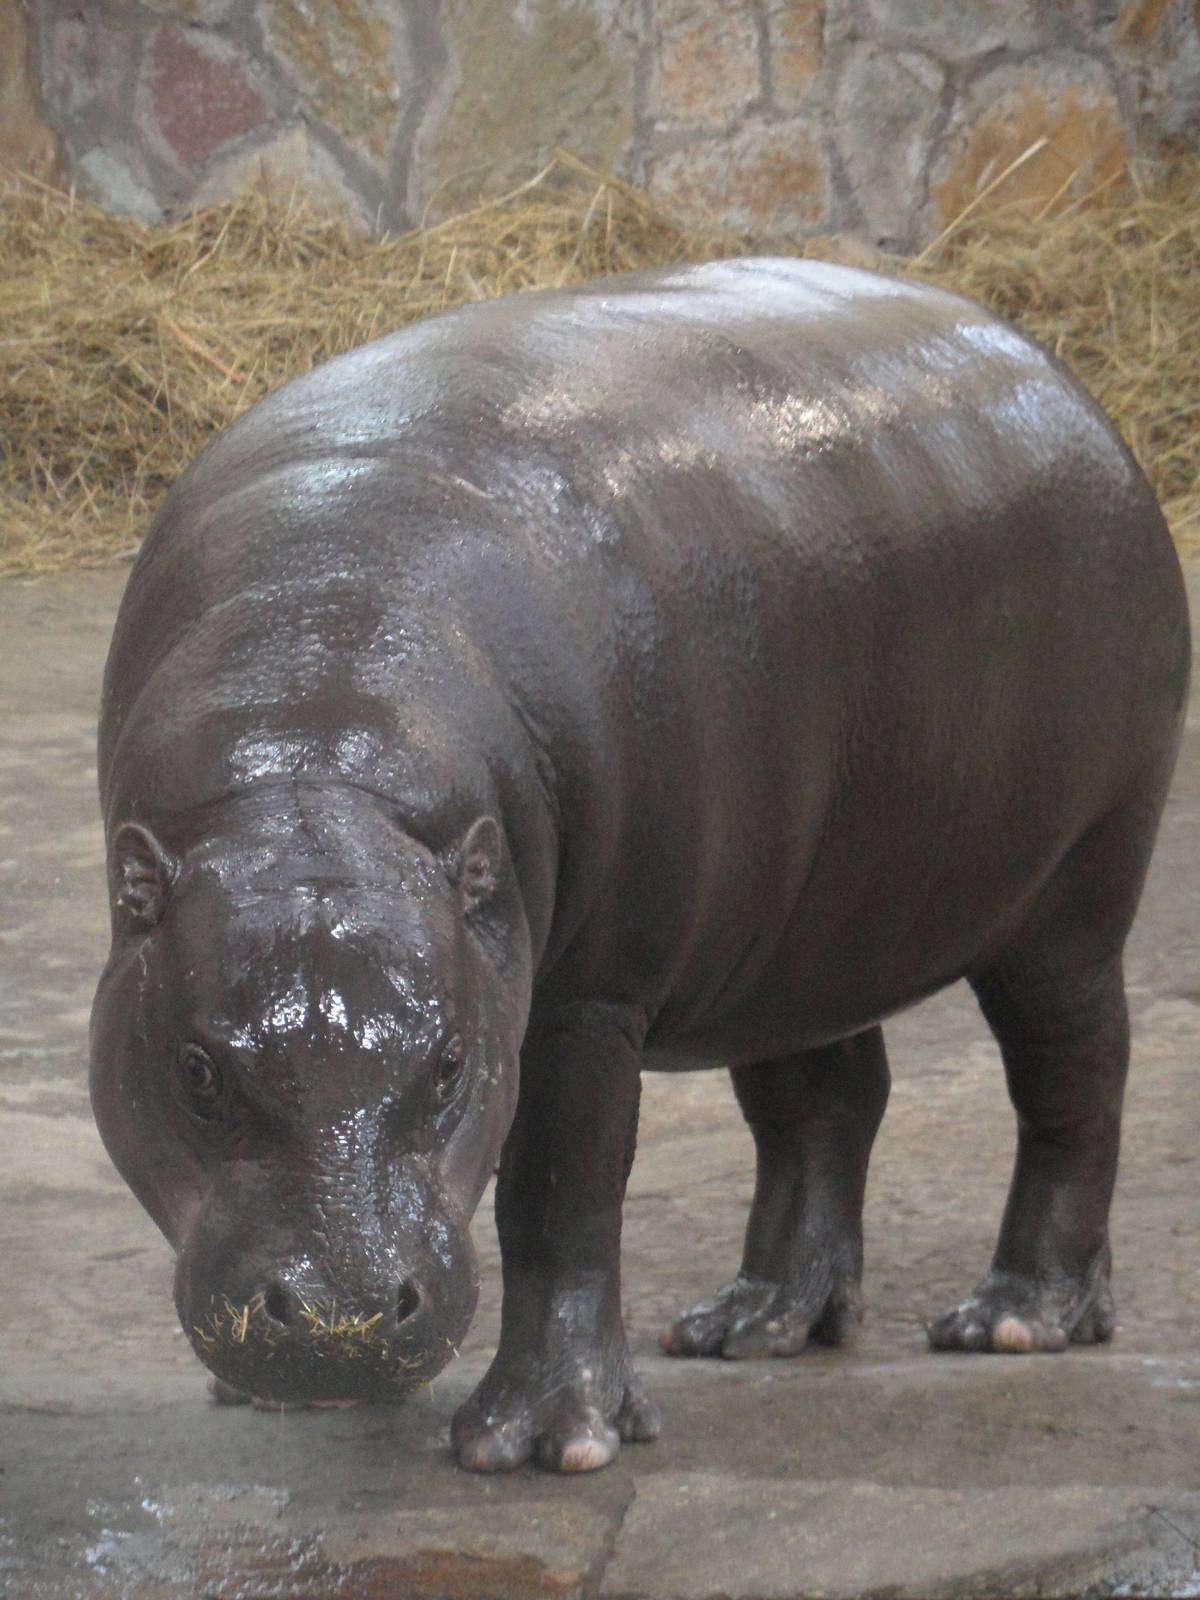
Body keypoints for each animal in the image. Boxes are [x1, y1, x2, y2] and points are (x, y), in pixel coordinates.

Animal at [90, 258, 1189, 1473]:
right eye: (197, 1071)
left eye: (449, 1065)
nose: (341, 1320)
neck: (319, 709)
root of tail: (1065, 384)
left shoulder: (585, 995)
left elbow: (559, 1196)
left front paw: (545, 1442)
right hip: (800, 935)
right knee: (827, 1100)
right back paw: (755, 1324)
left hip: (1074, 887)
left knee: (1075, 1075)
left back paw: (1015, 1318)